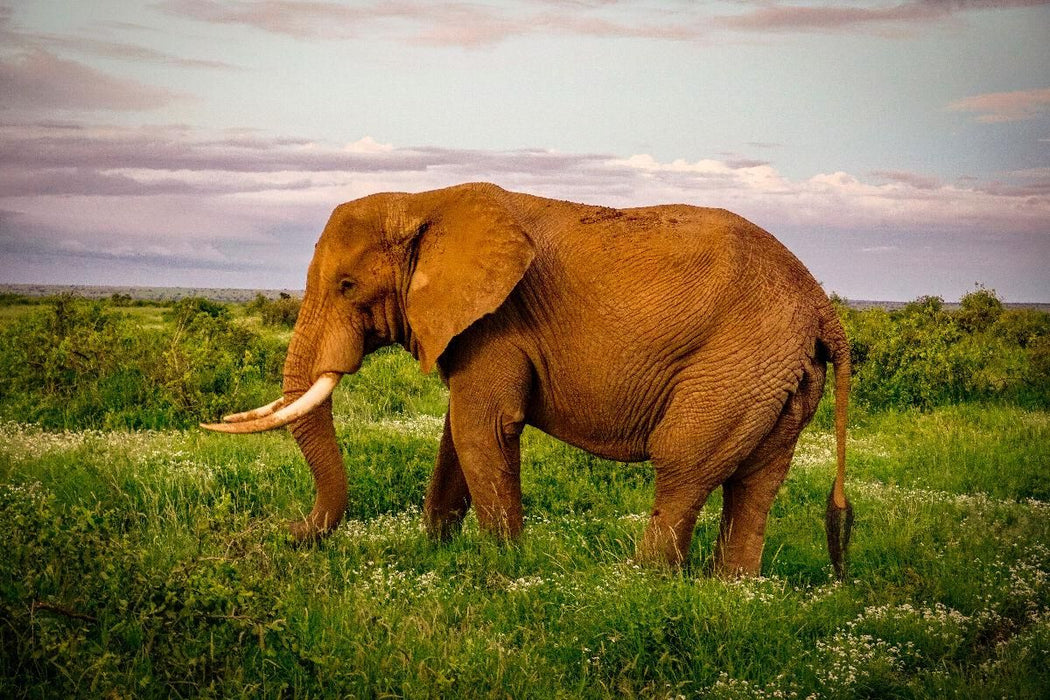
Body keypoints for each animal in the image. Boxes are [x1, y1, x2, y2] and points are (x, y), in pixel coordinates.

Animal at [203, 182, 854, 578]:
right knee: (757, 482)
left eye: (346, 286)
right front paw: (434, 555)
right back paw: (734, 591)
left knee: (684, 464)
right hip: (780, 375)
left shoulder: (497, 320)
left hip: (737, 362)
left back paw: (640, 584)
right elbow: (456, 436)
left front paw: (504, 572)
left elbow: (482, 428)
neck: (423, 201)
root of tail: (823, 309)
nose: (287, 531)